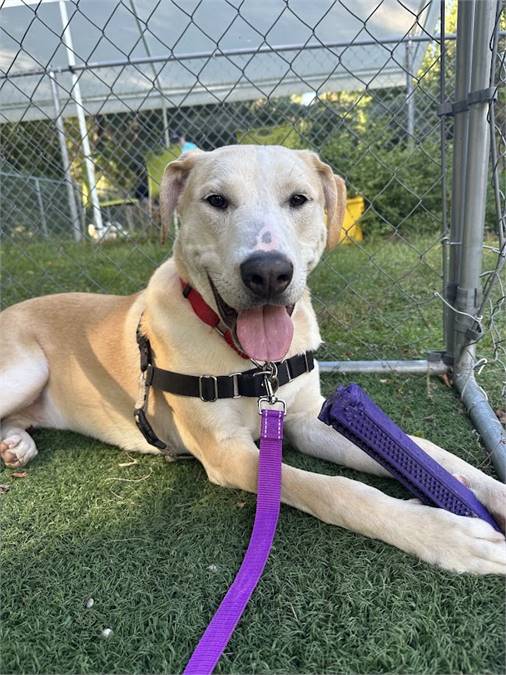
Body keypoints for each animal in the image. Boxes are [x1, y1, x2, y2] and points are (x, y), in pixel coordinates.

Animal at [0, 144, 506, 576]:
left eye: (299, 199)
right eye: (216, 200)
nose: (268, 273)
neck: (251, 364)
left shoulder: (305, 419)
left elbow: (430, 453)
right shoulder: (229, 454)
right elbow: (334, 488)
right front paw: (446, 535)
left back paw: (17, 445)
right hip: (26, 370)